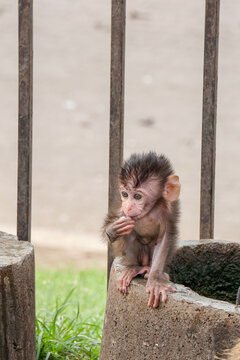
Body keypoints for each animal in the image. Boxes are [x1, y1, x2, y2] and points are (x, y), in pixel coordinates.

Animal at [103, 150, 180, 308]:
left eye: (138, 196)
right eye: (125, 194)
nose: (128, 207)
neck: (149, 211)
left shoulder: (167, 210)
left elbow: (164, 239)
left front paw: (155, 281)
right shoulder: (122, 212)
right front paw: (114, 229)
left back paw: (153, 272)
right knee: (130, 235)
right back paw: (134, 269)